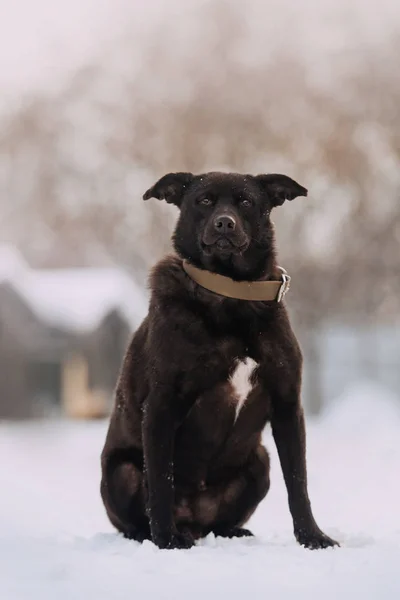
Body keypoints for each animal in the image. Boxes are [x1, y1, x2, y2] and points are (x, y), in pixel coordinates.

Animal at [100, 171, 338, 552]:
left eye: (246, 202)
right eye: (204, 201)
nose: (224, 223)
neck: (230, 292)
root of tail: (194, 521)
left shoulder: (287, 403)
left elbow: (298, 482)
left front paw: (312, 537)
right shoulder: (162, 405)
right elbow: (161, 483)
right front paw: (166, 542)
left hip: (260, 462)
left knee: (222, 520)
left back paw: (232, 532)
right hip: (121, 472)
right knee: (136, 515)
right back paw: (155, 535)